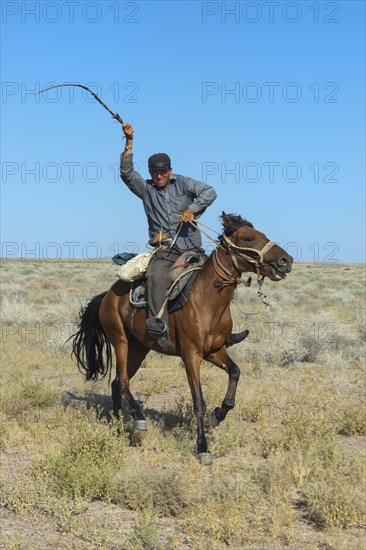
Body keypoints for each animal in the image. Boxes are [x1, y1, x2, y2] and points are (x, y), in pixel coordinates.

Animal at [73, 213, 294, 464]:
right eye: (249, 238)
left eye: (262, 234)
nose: (286, 260)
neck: (207, 299)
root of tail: (108, 295)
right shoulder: (191, 356)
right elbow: (198, 402)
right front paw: (202, 447)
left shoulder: (214, 351)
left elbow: (235, 373)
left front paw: (218, 414)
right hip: (120, 341)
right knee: (123, 381)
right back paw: (138, 418)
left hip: (139, 348)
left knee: (117, 382)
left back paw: (118, 426)